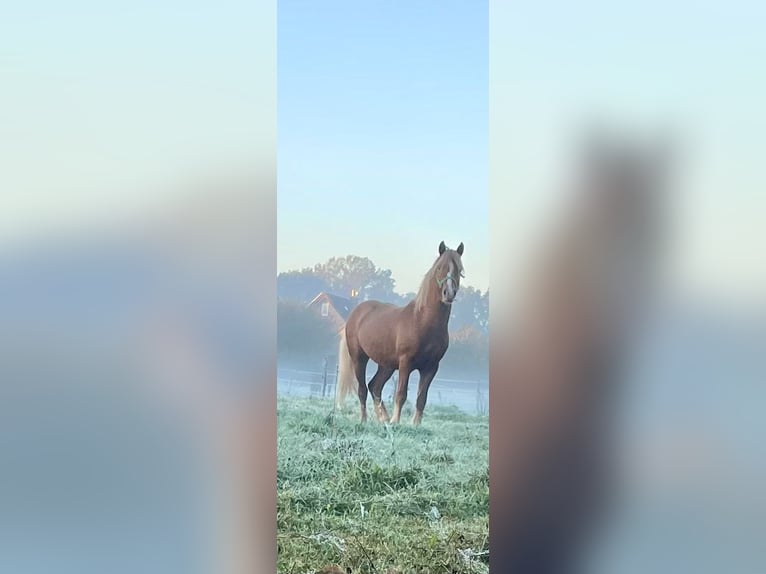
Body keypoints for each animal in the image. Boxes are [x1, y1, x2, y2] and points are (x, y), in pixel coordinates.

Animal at [338, 241, 468, 426]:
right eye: (439, 268)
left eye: (459, 270)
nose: (448, 294)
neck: (422, 321)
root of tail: (355, 313)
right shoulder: (406, 363)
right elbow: (401, 394)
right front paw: (395, 421)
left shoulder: (431, 367)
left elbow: (422, 398)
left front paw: (415, 425)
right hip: (359, 358)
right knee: (363, 389)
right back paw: (365, 420)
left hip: (387, 364)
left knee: (375, 386)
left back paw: (383, 419)